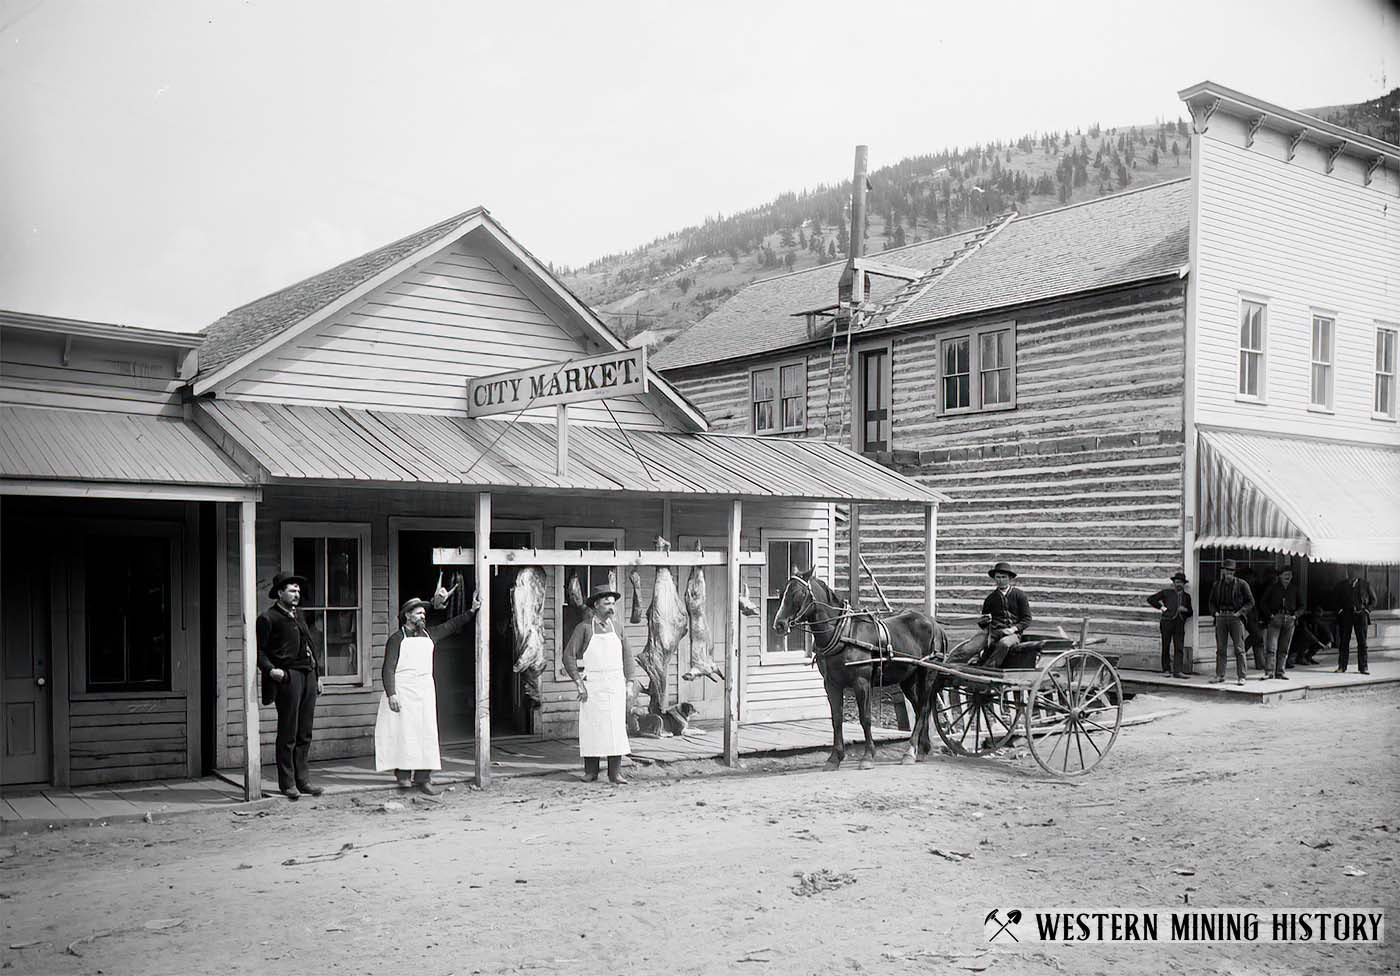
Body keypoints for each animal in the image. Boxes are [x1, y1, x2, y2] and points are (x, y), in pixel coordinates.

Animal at [767, 568, 952, 767]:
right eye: (782, 593)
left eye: (798, 593)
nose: (779, 624)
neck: (843, 632)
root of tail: (934, 624)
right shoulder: (831, 684)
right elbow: (837, 718)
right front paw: (835, 757)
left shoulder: (861, 683)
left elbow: (865, 718)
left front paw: (867, 756)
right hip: (907, 679)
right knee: (919, 710)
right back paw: (923, 748)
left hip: (927, 673)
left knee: (924, 708)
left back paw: (910, 751)